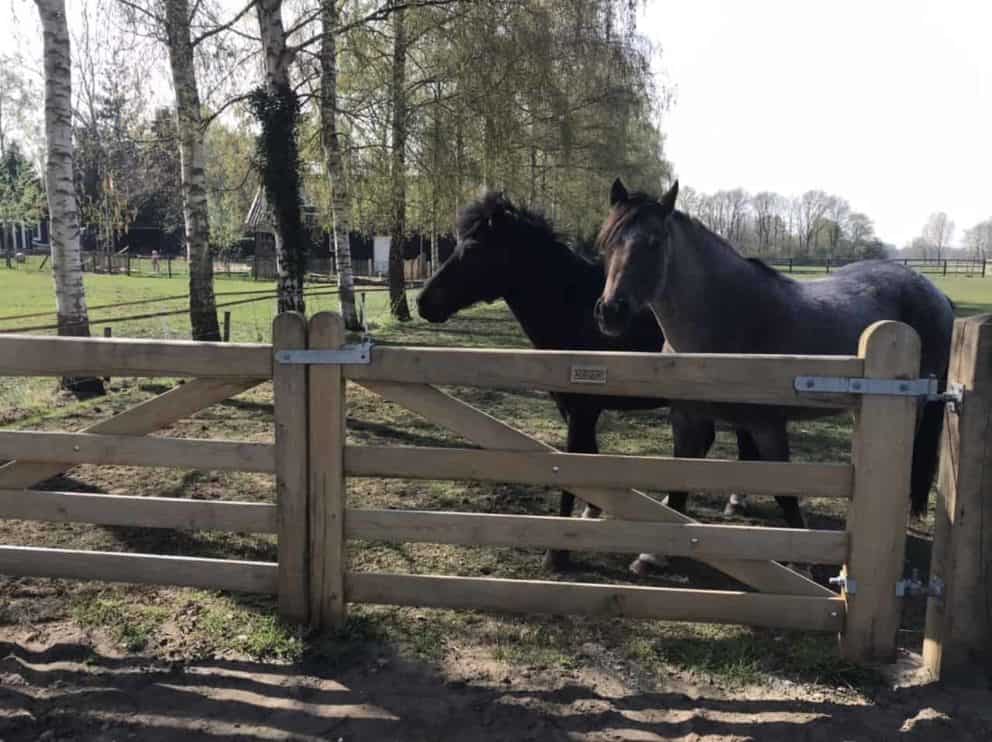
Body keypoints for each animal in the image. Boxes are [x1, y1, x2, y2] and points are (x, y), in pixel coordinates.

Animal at [414, 195, 756, 572]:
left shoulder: (582, 408)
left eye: (474, 247)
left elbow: (572, 463)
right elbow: (588, 455)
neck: (573, 308)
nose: (423, 302)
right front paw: (592, 509)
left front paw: (557, 552)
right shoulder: (572, 407)